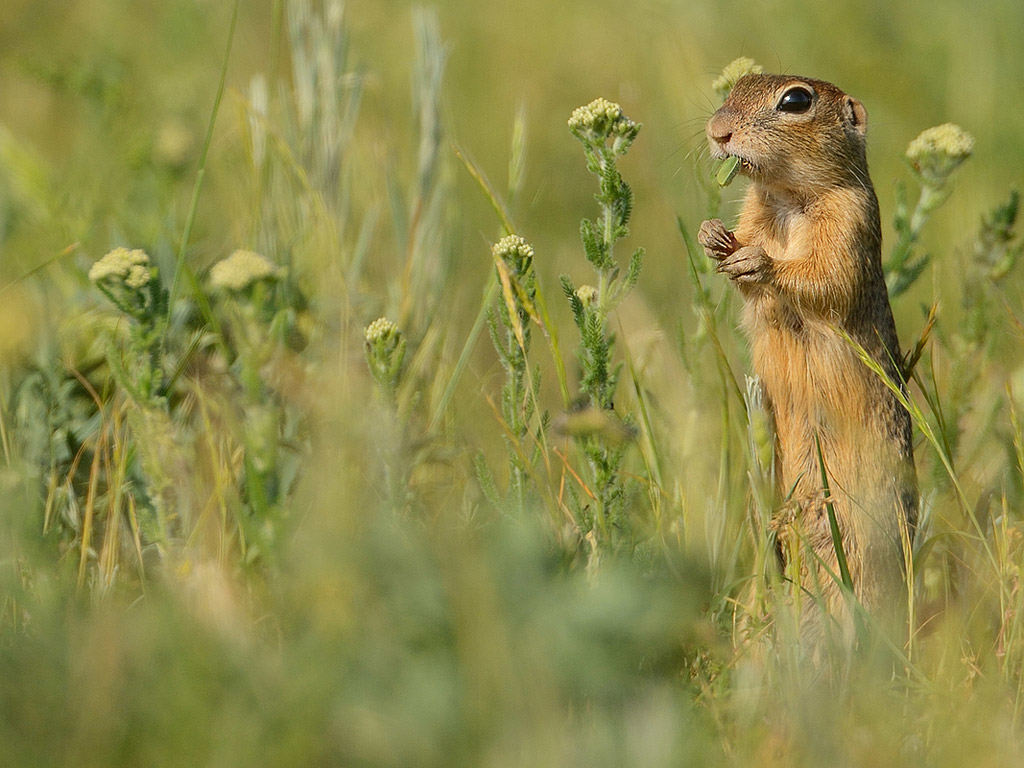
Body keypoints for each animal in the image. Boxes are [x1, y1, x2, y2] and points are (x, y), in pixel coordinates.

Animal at [700, 73, 917, 643]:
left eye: (796, 100)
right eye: (738, 85)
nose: (718, 131)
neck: (787, 199)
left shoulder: (850, 221)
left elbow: (823, 278)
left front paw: (759, 261)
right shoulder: (754, 211)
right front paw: (714, 236)